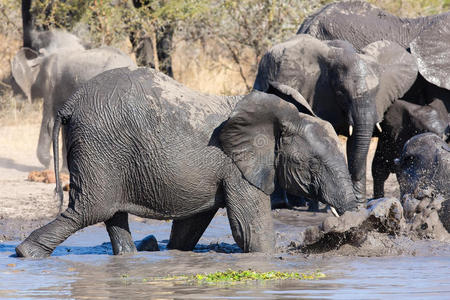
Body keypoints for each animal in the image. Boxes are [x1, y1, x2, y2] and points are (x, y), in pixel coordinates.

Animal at [14, 67, 358, 258]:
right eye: (313, 166)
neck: (280, 114)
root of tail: (69, 104)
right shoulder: (237, 168)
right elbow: (249, 230)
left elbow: (191, 226)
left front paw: (175, 253)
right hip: (99, 147)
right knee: (90, 210)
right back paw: (25, 254)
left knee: (111, 213)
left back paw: (129, 258)